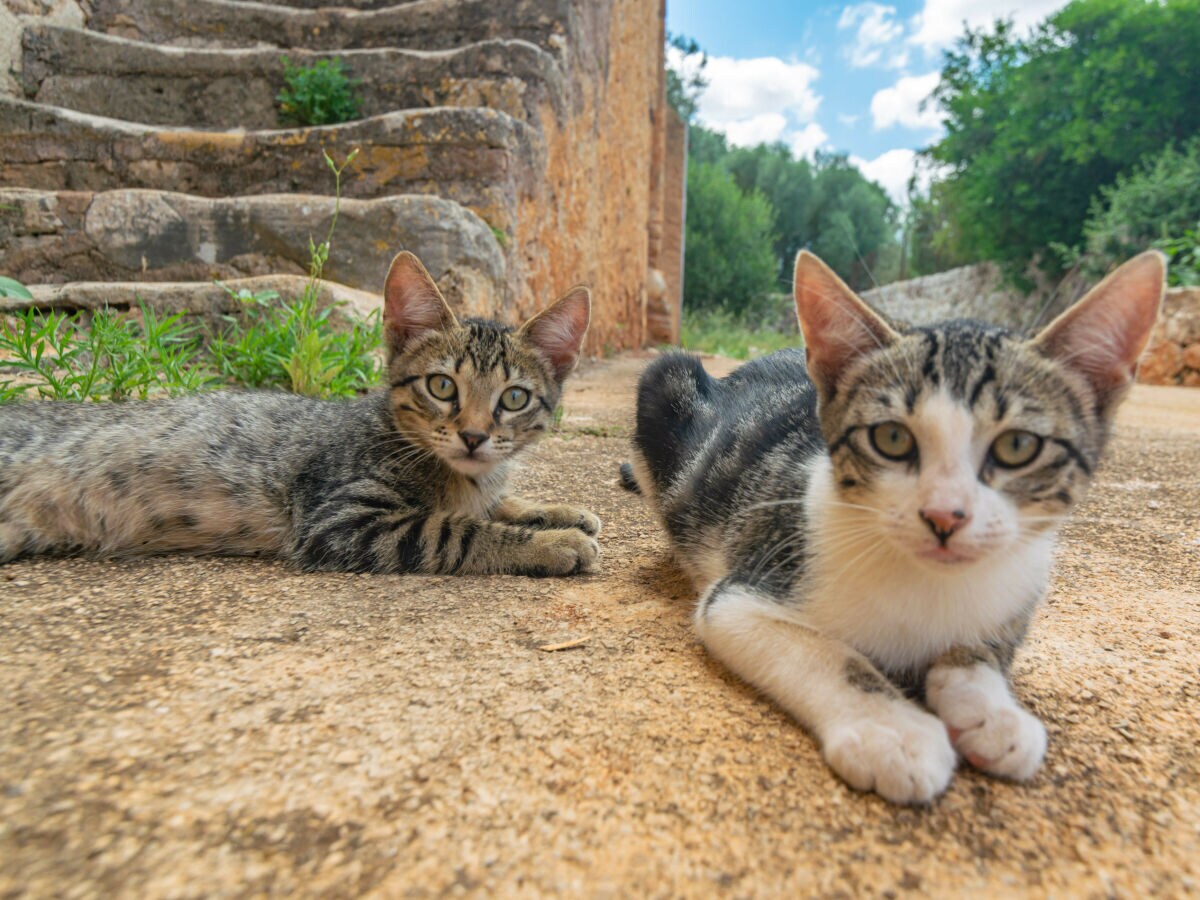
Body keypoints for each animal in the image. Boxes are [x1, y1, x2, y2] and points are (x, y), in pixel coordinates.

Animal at [0, 254, 600, 578]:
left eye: (514, 399)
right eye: (441, 386)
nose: (474, 436)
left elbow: (496, 504)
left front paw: (555, 511)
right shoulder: (341, 519)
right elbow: (458, 530)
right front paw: (553, 543)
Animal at [628, 250, 1161, 806]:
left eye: (1018, 446)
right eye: (891, 438)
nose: (945, 516)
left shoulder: (1019, 587)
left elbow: (980, 651)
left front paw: (994, 712)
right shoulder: (742, 592)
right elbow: (827, 653)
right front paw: (894, 731)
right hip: (669, 377)